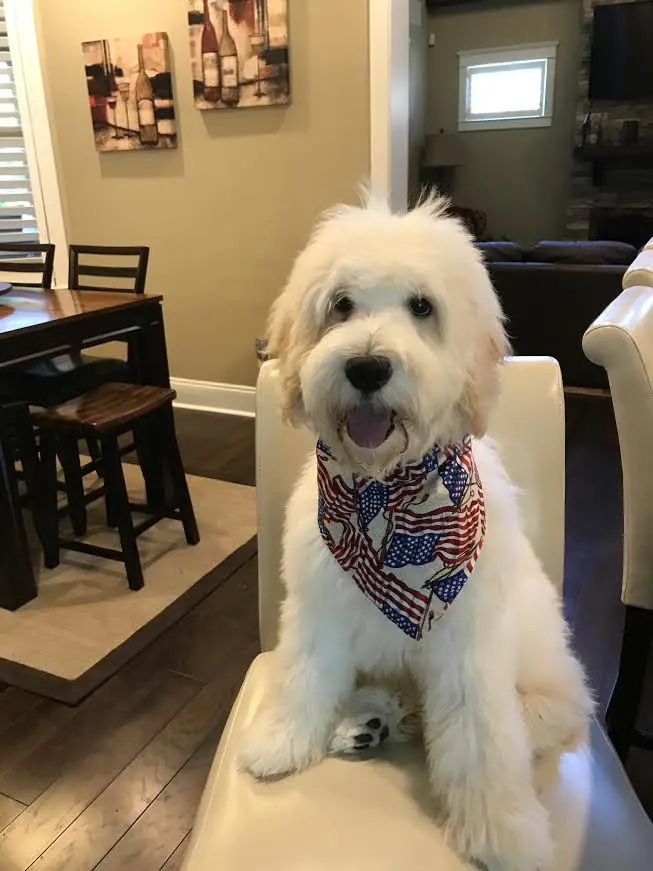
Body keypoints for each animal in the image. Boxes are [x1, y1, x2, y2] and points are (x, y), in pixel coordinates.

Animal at [238, 196, 592, 871]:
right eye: (341, 304)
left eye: (422, 306)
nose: (367, 366)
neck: (384, 495)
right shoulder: (319, 607)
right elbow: (302, 676)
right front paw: (279, 741)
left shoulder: (467, 640)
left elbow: (482, 737)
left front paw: (503, 834)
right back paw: (368, 720)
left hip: (547, 669)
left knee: (540, 714)